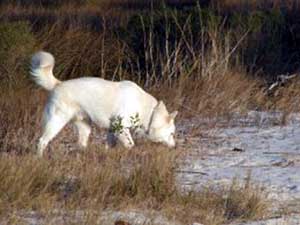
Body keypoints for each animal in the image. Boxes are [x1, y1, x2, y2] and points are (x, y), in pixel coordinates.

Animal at [30, 51, 177, 156]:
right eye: (171, 134)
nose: (175, 147)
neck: (149, 112)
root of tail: (58, 84)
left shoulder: (113, 129)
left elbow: (109, 145)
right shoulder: (121, 128)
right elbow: (130, 145)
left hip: (85, 127)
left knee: (81, 145)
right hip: (56, 122)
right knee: (42, 141)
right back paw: (39, 158)